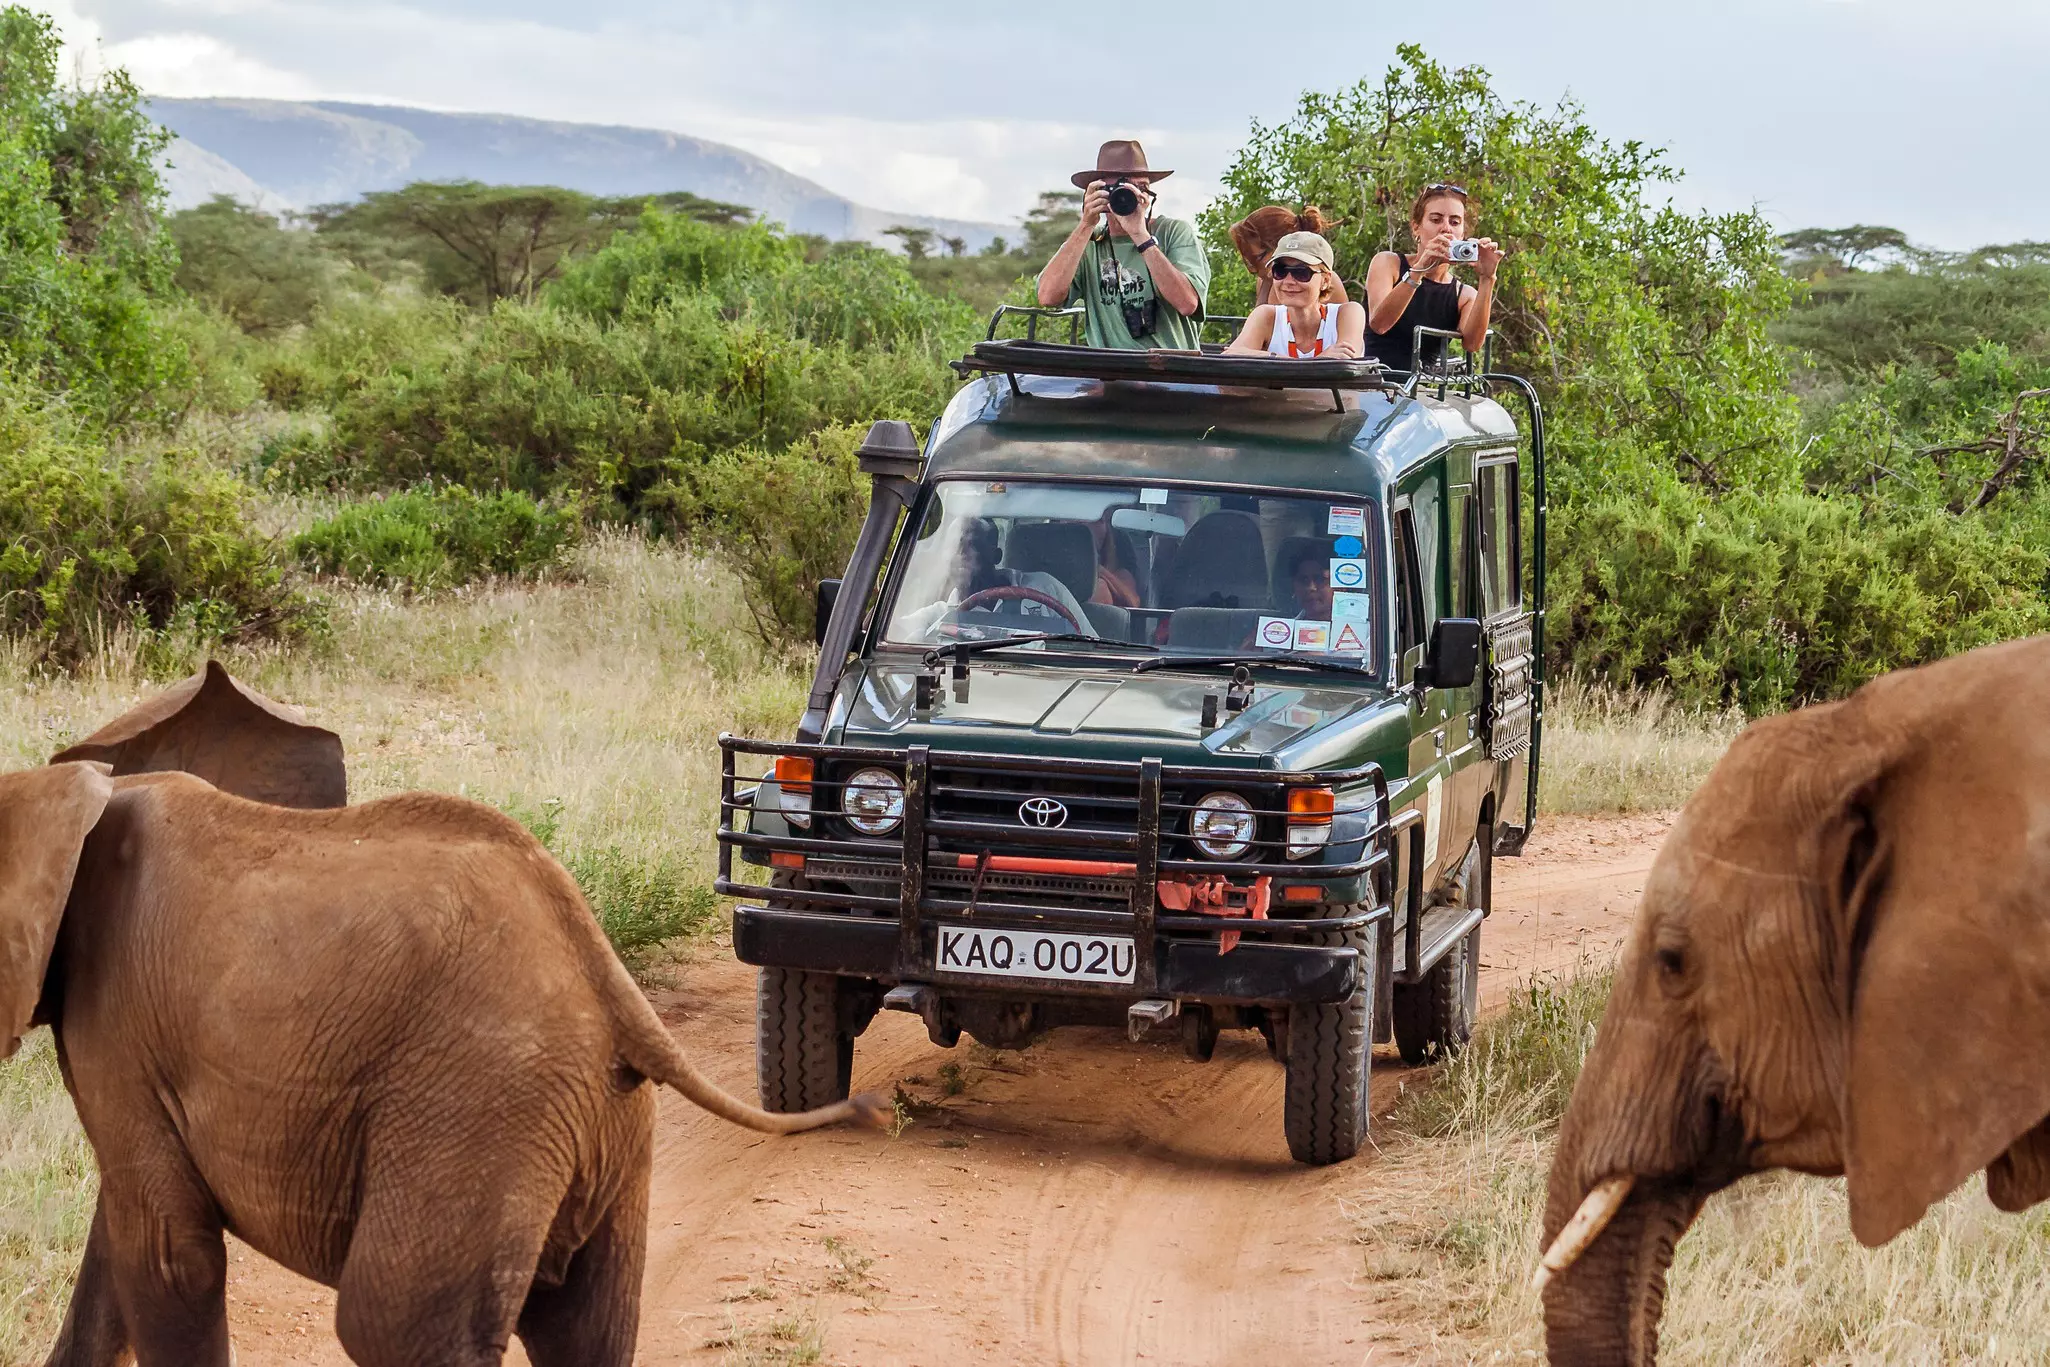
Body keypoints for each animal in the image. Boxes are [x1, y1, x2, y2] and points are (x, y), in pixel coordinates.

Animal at [8, 664, 884, 1367]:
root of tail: (610, 980)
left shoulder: (121, 1025)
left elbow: (167, 1254)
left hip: (476, 1108)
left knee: (390, 1323)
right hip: (588, 1123)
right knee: (585, 1328)